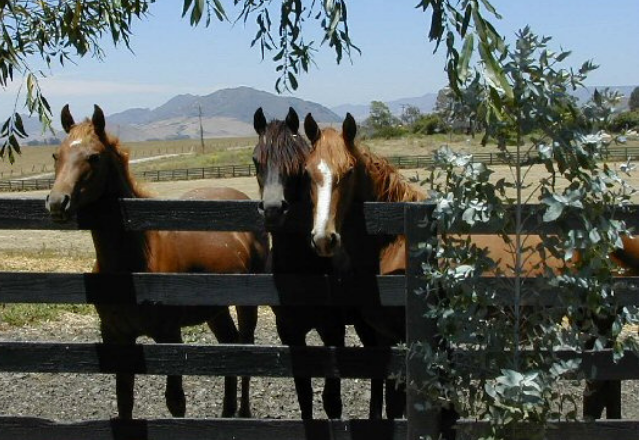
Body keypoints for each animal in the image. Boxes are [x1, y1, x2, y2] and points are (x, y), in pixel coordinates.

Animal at [46, 105, 268, 422]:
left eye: (94, 156)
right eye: (57, 155)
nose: (56, 203)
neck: (136, 261)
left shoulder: (169, 335)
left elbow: (175, 401)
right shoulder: (118, 337)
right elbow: (124, 399)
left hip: (247, 302)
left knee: (245, 347)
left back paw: (244, 413)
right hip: (215, 309)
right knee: (228, 345)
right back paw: (226, 413)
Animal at [251, 107, 382, 420]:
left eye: (297, 164)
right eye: (255, 160)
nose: (273, 209)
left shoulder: (332, 329)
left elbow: (332, 400)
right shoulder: (289, 331)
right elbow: (304, 394)